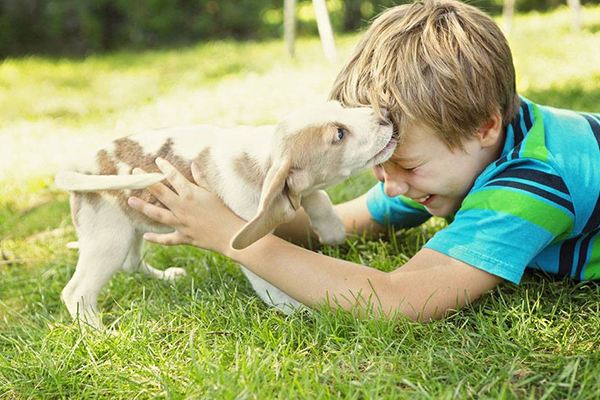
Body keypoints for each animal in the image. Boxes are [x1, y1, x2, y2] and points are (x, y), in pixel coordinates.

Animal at [54, 101, 396, 330]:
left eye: (342, 106)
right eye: (339, 134)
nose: (385, 114)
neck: (261, 156)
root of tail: (82, 166)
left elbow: (317, 195)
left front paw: (331, 228)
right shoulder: (253, 245)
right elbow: (271, 286)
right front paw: (299, 311)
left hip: (130, 229)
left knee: (131, 263)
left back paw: (165, 277)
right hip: (108, 239)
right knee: (76, 292)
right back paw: (99, 334)